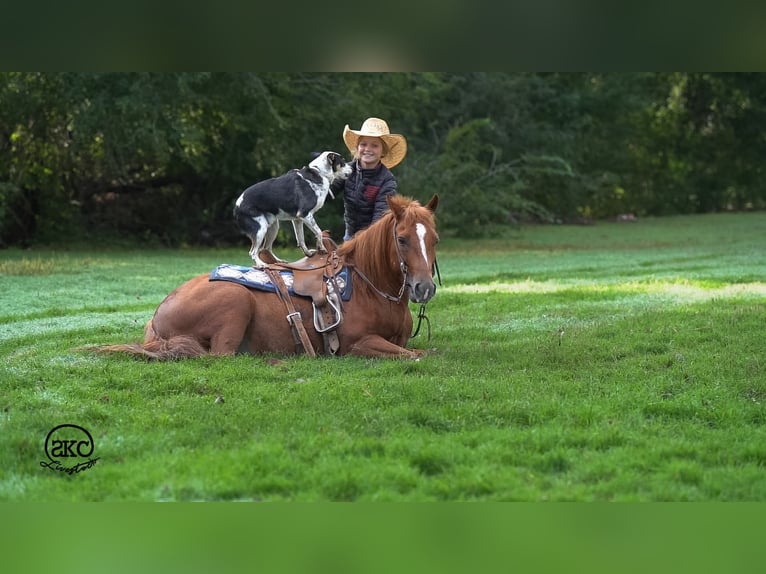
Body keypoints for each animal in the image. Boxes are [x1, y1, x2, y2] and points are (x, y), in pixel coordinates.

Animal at [94, 194, 439, 360]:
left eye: (435, 239)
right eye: (402, 239)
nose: (423, 288)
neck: (371, 289)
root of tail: (158, 314)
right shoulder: (359, 345)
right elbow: (418, 355)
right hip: (236, 301)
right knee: (219, 357)